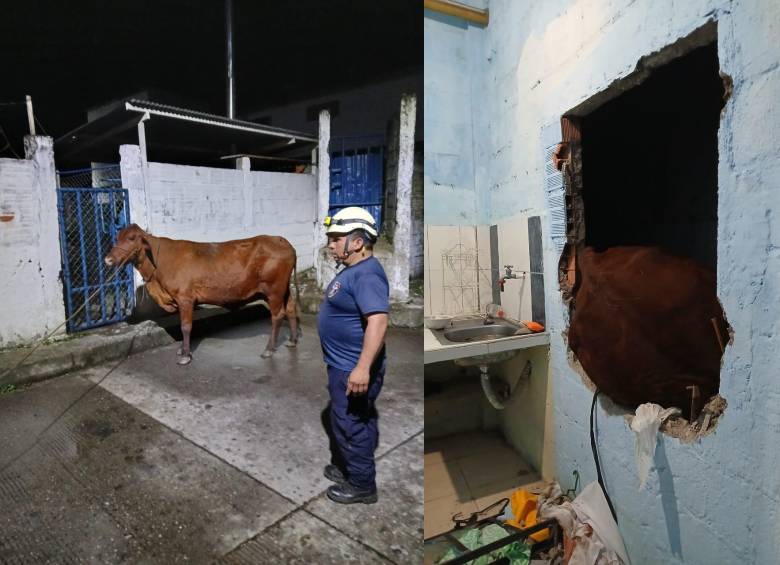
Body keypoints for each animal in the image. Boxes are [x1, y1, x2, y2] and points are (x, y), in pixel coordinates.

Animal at [104, 223, 298, 364]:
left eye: (131, 238)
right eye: (117, 237)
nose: (108, 259)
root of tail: (281, 240)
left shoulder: (185, 298)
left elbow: (186, 326)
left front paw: (185, 355)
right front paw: (182, 350)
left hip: (274, 290)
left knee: (277, 316)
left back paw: (268, 350)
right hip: (284, 290)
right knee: (290, 309)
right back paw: (292, 340)